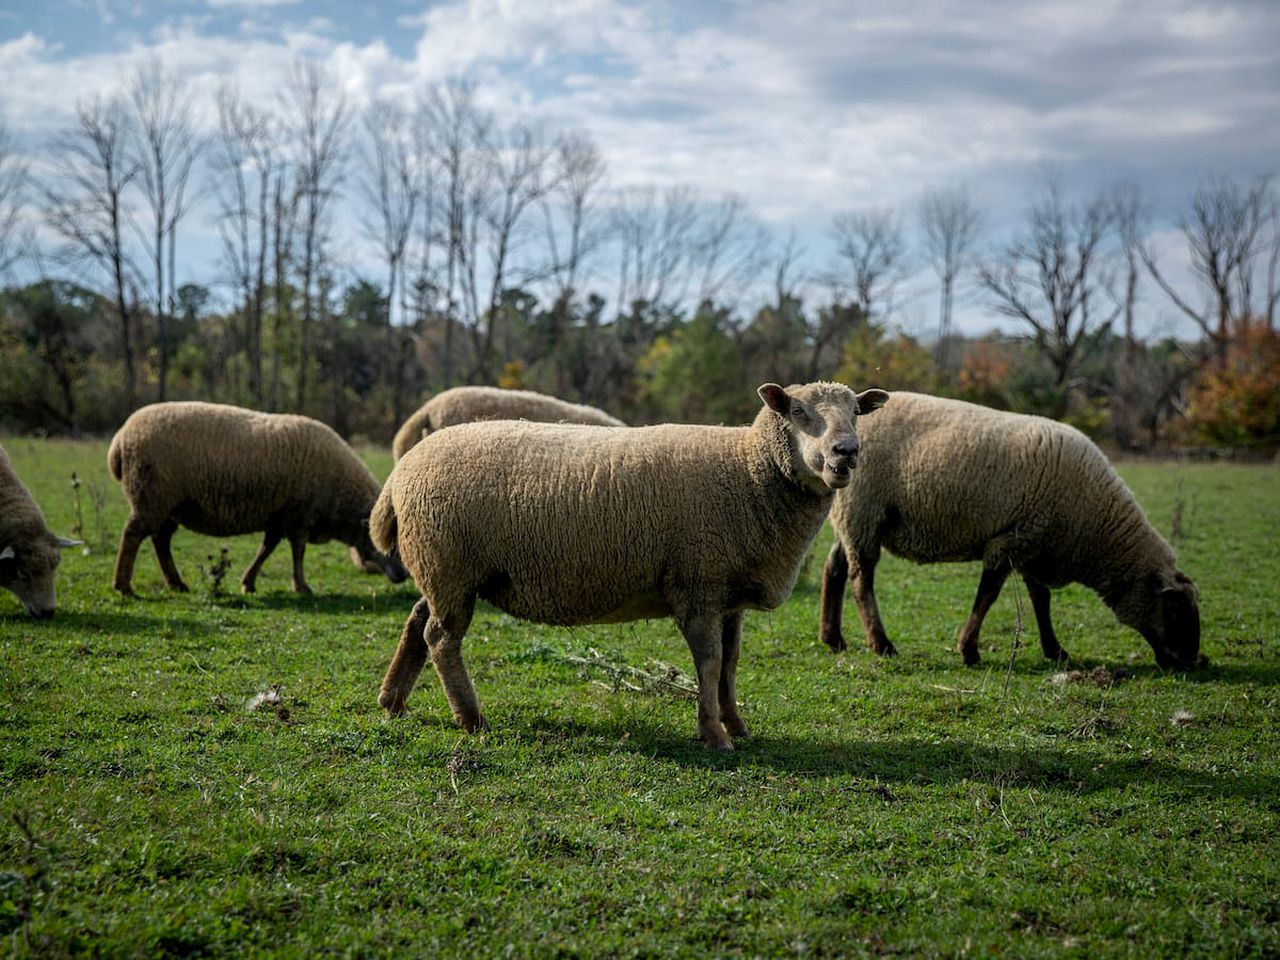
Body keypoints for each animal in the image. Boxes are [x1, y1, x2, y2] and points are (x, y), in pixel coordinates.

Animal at [112, 401, 409, 599]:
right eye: (388, 545)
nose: (404, 575)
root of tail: (120, 440)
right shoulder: (299, 515)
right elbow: (297, 551)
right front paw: (302, 587)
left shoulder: (280, 515)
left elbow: (267, 548)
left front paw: (249, 583)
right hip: (151, 497)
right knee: (133, 534)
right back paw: (124, 585)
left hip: (169, 505)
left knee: (161, 540)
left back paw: (176, 584)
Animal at [819, 391, 1198, 670]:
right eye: (1175, 608)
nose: (1193, 662)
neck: (1096, 528)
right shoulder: (1009, 541)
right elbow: (987, 596)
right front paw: (969, 650)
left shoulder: (1035, 543)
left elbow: (1040, 600)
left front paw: (1055, 650)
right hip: (864, 511)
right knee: (861, 579)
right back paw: (881, 644)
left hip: (853, 518)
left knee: (833, 568)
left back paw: (833, 638)